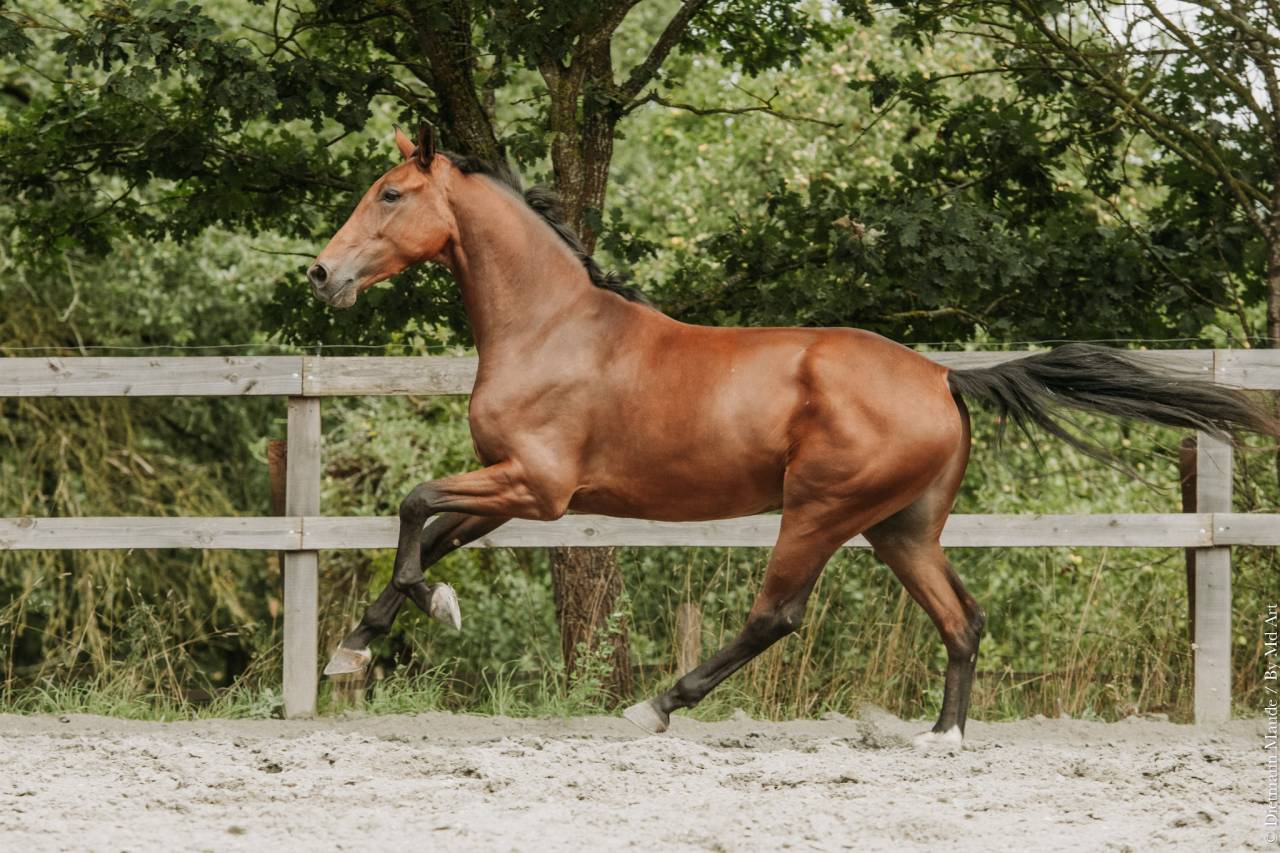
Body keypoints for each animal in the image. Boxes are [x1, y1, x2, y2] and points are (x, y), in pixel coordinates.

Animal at [308, 124, 1276, 745]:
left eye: (390, 193)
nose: (321, 274)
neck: (551, 327)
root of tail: (941, 375)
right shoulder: (517, 489)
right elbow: (432, 534)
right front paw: (360, 645)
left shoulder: (537, 488)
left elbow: (413, 508)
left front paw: (407, 620)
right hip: (901, 527)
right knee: (962, 619)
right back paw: (942, 736)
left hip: (819, 510)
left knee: (777, 614)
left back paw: (657, 705)